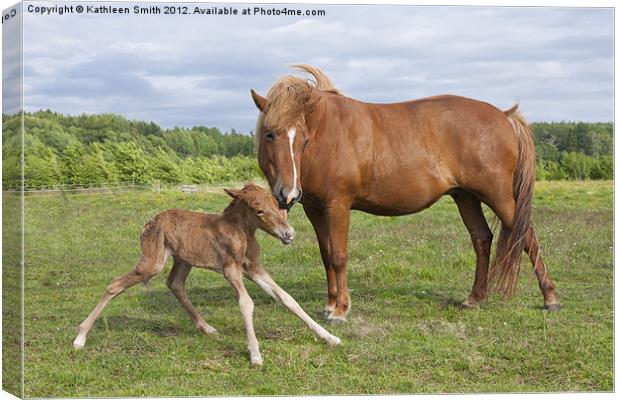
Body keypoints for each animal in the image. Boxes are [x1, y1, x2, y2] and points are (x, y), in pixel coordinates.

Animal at [75, 184, 344, 366]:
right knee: (115, 283)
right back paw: (80, 337)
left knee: (175, 284)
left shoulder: (255, 269)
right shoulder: (230, 269)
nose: (288, 234)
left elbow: (287, 299)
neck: (243, 233)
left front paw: (329, 337)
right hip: (153, 261)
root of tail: (149, 223)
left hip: (183, 260)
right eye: (258, 211)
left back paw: (207, 328)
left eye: (278, 205)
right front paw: (255, 354)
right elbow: (246, 303)